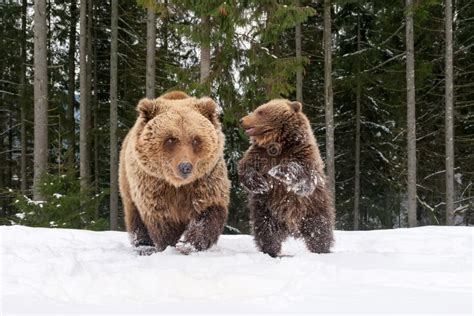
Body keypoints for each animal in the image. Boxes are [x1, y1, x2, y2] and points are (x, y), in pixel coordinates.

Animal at [118, 90, 230, 254]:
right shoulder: (154, 184)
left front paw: (188, 244)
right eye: (170, 139)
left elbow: (208, 210)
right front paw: (167, 244)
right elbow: (162, 220)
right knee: (135, 217)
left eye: (196, 139)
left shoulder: (205, 180)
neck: (177, 185)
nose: (185, 167)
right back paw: (144, 246)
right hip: (128, 184)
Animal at [239, 100, 336, 258]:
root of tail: (291, 227)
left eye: (260, 111)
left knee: (319, 229)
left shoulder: (302, 153)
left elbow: (301, 170)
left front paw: (275, 171)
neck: (277, 142)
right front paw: (261, 183)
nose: (242, 120)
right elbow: (245, 169)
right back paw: (272, 251)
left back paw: (321, 250)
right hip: (266, 209)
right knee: (266, 230)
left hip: (314, 206)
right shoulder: (259, 155)